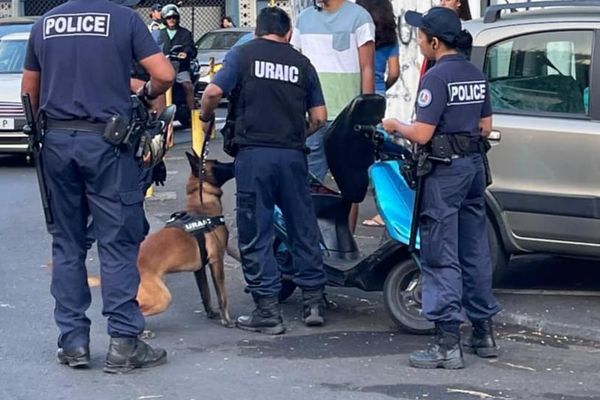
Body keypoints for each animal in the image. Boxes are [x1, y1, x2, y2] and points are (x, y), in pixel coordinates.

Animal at [137, 152, 236, 326]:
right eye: (217, 164)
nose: (234, 163)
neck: (202, 204)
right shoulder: (217, 261)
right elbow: (222, 296)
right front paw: (226, 320)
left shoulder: (199, 269)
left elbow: (205, 293)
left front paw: (211, 313)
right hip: (162, 297)